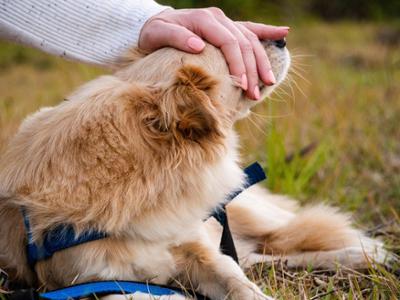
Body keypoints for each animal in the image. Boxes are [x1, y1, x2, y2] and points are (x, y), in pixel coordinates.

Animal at [0, 40, 390, 300]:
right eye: (236, 59)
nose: (281, 38)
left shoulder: (200, 251)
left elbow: (238, 282)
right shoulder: (91, 284)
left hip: (253, 216)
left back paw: (365, 254)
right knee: (263, 256)